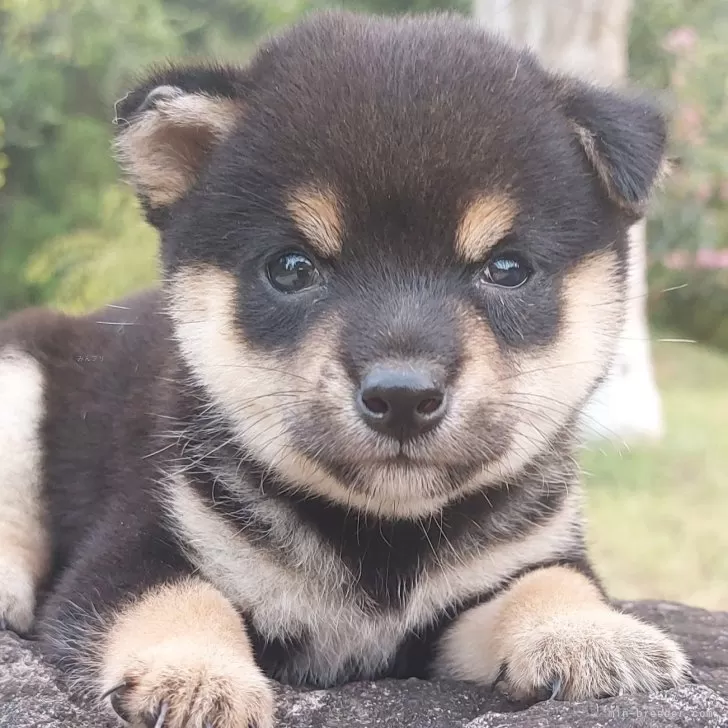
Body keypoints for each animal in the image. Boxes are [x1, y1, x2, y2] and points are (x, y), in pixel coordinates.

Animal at [0, 11, 688, 728]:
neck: (379, 544)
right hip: (18, 372)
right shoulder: (128, 549)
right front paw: (197, 676)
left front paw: (590, 633)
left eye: (507, 268)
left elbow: (551, 581)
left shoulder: (485, 587)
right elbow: (181, 596)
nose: (403, 396)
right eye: (291, 267)